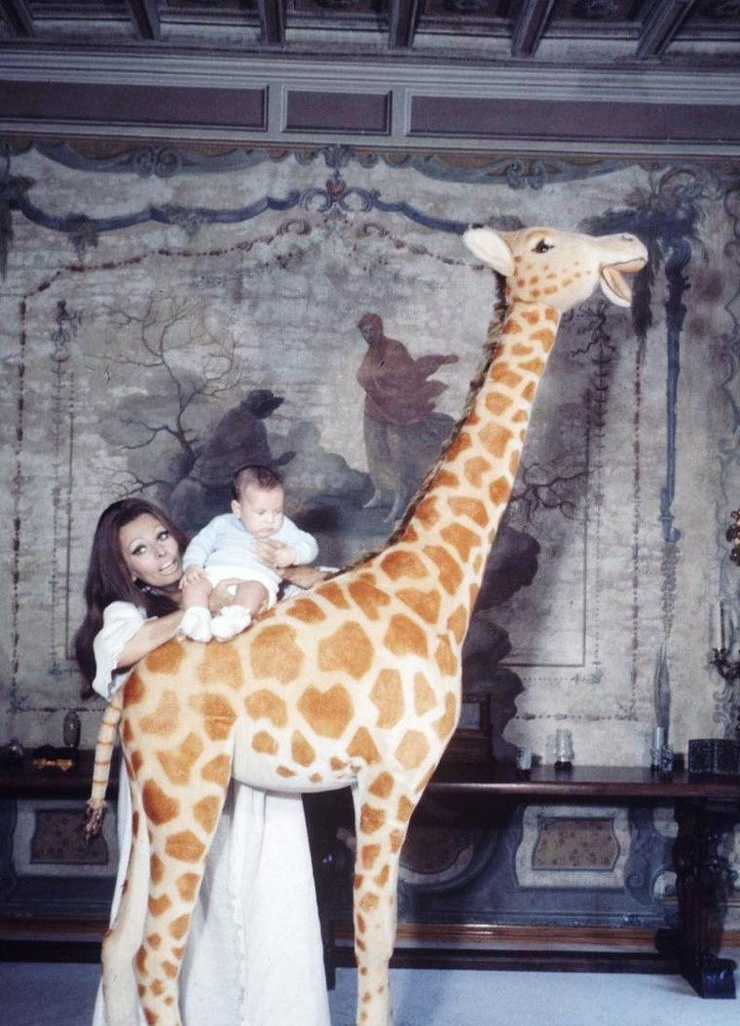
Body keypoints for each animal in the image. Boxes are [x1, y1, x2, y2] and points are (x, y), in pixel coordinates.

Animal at [88, 224, 647, 1026]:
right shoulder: (392, 776)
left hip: (148, 805)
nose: (630, 243)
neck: (436, 585)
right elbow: (375, 940)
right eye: (545, 243)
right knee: (156, 956)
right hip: (189, 796)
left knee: (115, 943)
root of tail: (127, 688)